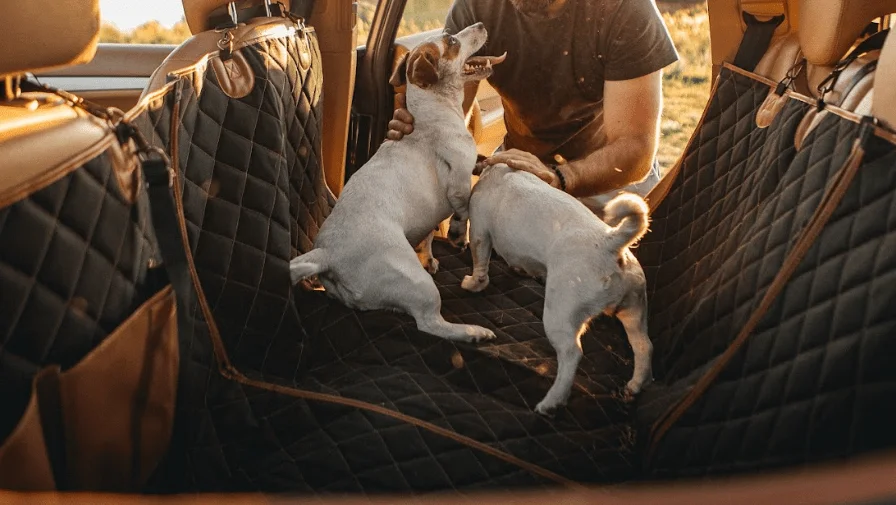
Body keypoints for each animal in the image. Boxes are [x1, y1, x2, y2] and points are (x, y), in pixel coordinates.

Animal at [292, 21, 504, 340]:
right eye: (452, 41)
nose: (480, 24)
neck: (433, 111)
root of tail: (328, 254)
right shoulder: (459, 180)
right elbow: (463, 206)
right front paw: (457, 234)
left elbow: (428, 234)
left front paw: (429, 255)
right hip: (416, 283)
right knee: (430, 323)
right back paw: (472, 332)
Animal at [458, 164, 656, 414]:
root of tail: (611, 243)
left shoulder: (480, 233)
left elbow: (480, 266)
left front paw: (473, 284)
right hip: (634, 312)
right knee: (644, 346)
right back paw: (636, 385)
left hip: (559, 315)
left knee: (572, 354)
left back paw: (551, 402)